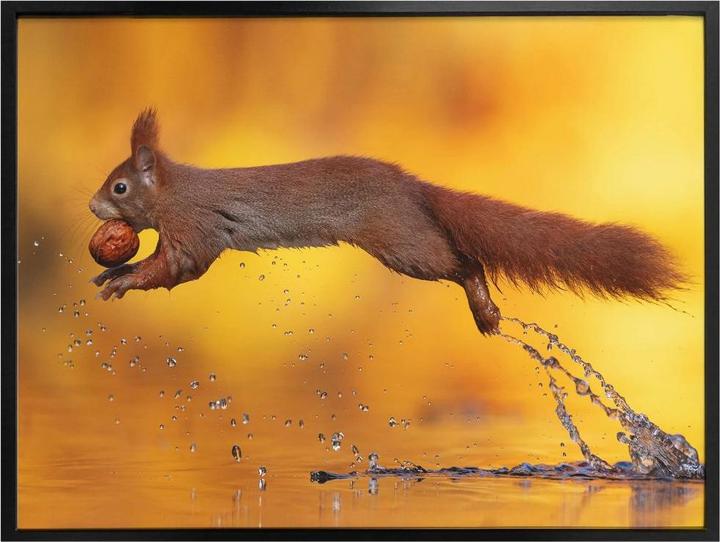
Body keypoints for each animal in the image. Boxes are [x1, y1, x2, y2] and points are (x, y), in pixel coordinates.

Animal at [89, 109, 684, 335]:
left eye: (119, 187)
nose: (93, 207)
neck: (175, 190)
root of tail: (413, 188)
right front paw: (109, 272)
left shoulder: (195, 228)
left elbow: (178, 268)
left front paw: (123, 280)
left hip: (402, 242)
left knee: (464, 262)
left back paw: (485, 308)